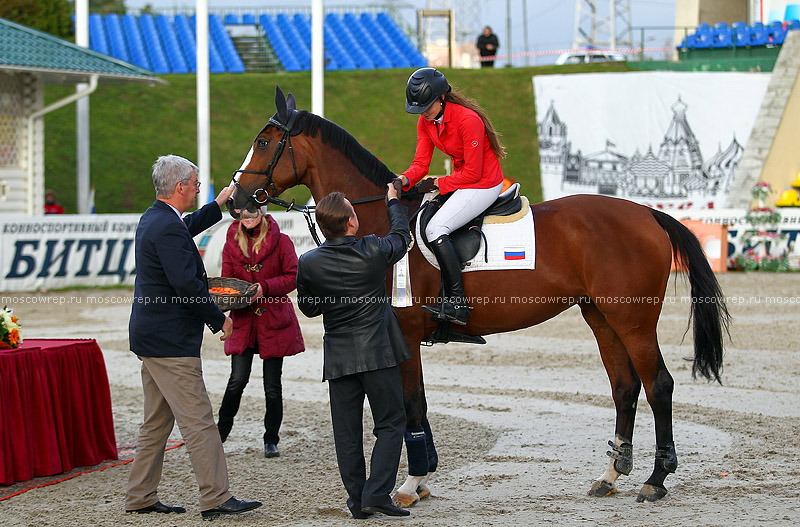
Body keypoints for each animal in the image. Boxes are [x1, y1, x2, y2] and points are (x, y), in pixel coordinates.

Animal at [227, 88, 732, 506]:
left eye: (266, 143)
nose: (234, 200)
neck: (378, 222)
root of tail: (648, 212)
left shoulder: (406, 334)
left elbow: (412, 405)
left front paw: (411, 484)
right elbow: (417, 405)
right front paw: (422, 478)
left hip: (633, 321)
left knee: (658, 385)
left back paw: (656, 480)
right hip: (601, 318)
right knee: (625, 387)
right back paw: (611, 474)